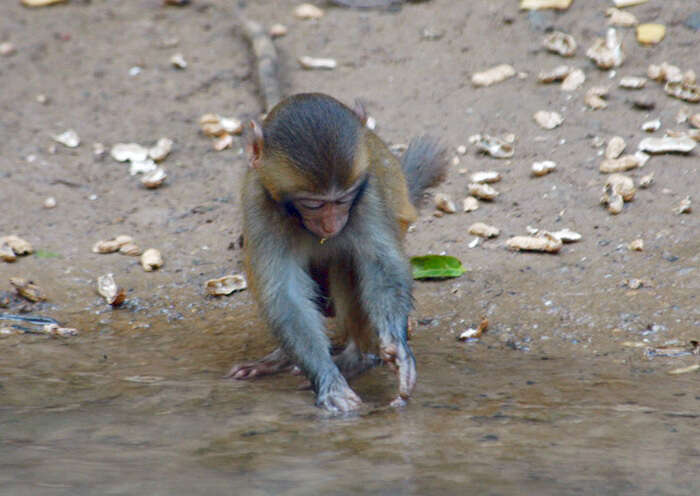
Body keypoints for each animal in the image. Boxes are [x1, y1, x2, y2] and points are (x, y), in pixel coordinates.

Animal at [230, 92, 448, 410]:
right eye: (313, 203)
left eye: (343, 199)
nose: (332, 224)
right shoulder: (259, 201)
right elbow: (284, 294)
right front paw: (328, 381)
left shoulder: (366, 192)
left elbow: (381, 263)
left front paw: (397, 347)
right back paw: (281, 359)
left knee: (348, 259)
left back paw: (358, 358)